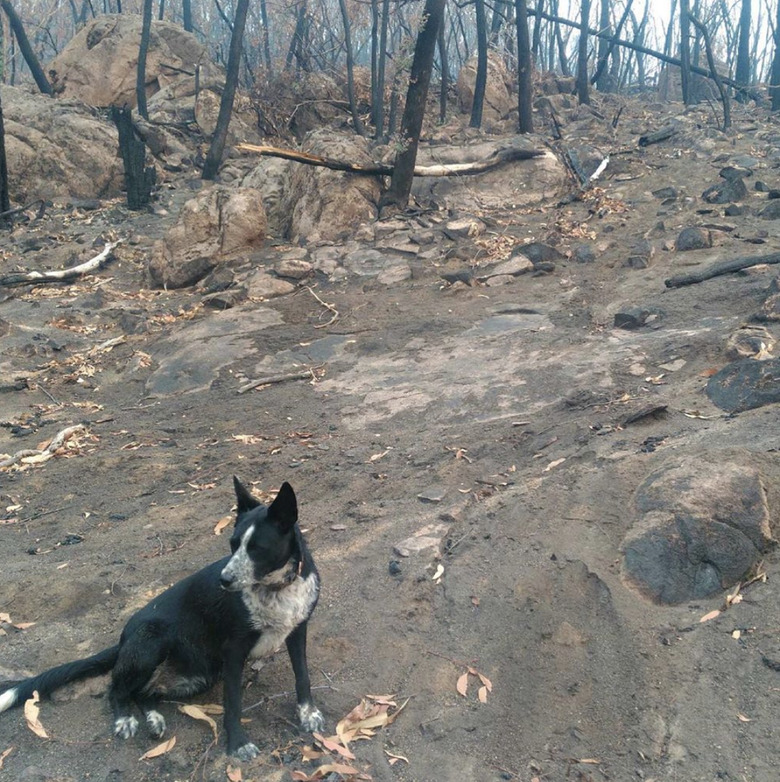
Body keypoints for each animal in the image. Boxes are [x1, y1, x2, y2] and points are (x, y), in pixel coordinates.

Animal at [0, 478, 322, 760]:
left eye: (257, 548)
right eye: (233, 544)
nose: (224, 580)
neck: (276, 588)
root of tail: (124, 638)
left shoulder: (298, 631)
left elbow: (302, 676)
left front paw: (308, 714)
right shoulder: (233, 651)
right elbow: (233, 703)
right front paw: (238, 745)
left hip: (198, 675)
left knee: (145, 693)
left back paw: (153, 718)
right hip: (153, 643)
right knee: (116, 689)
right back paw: (125, 720)